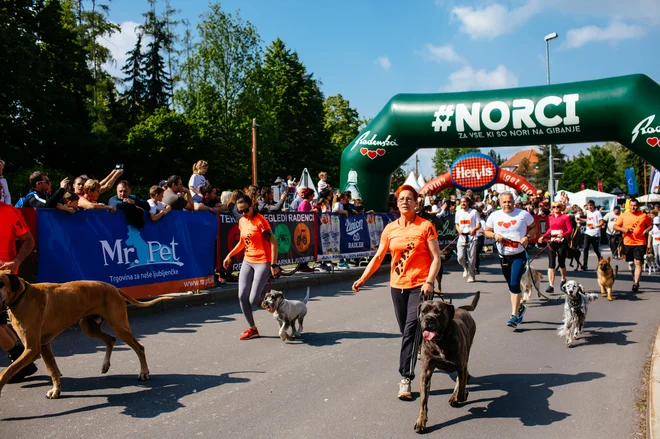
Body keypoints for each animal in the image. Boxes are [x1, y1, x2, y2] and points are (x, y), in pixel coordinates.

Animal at [0, 270, 173, 400]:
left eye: (1, 283)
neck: (22, 295)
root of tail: (114, 288)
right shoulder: (43, 346)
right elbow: (52, 369)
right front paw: (56, 390)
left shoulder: (32, 349)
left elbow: (7, 371)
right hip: (88, 326)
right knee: (111, 339)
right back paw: (105, 365)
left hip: (119, 326)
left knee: (139, 347)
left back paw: (144, 372)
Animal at [412, 292, 480, 434]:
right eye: (424, 311)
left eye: (439, 312)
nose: (428, 319)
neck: (440, 341)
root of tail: (462, 308)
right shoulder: (426, 372)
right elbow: (423, 400)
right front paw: (421, 421)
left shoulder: (460, 364)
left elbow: (461, 389)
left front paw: (460, 395)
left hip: (466, 352)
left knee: (463, 376)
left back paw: (456, 396)